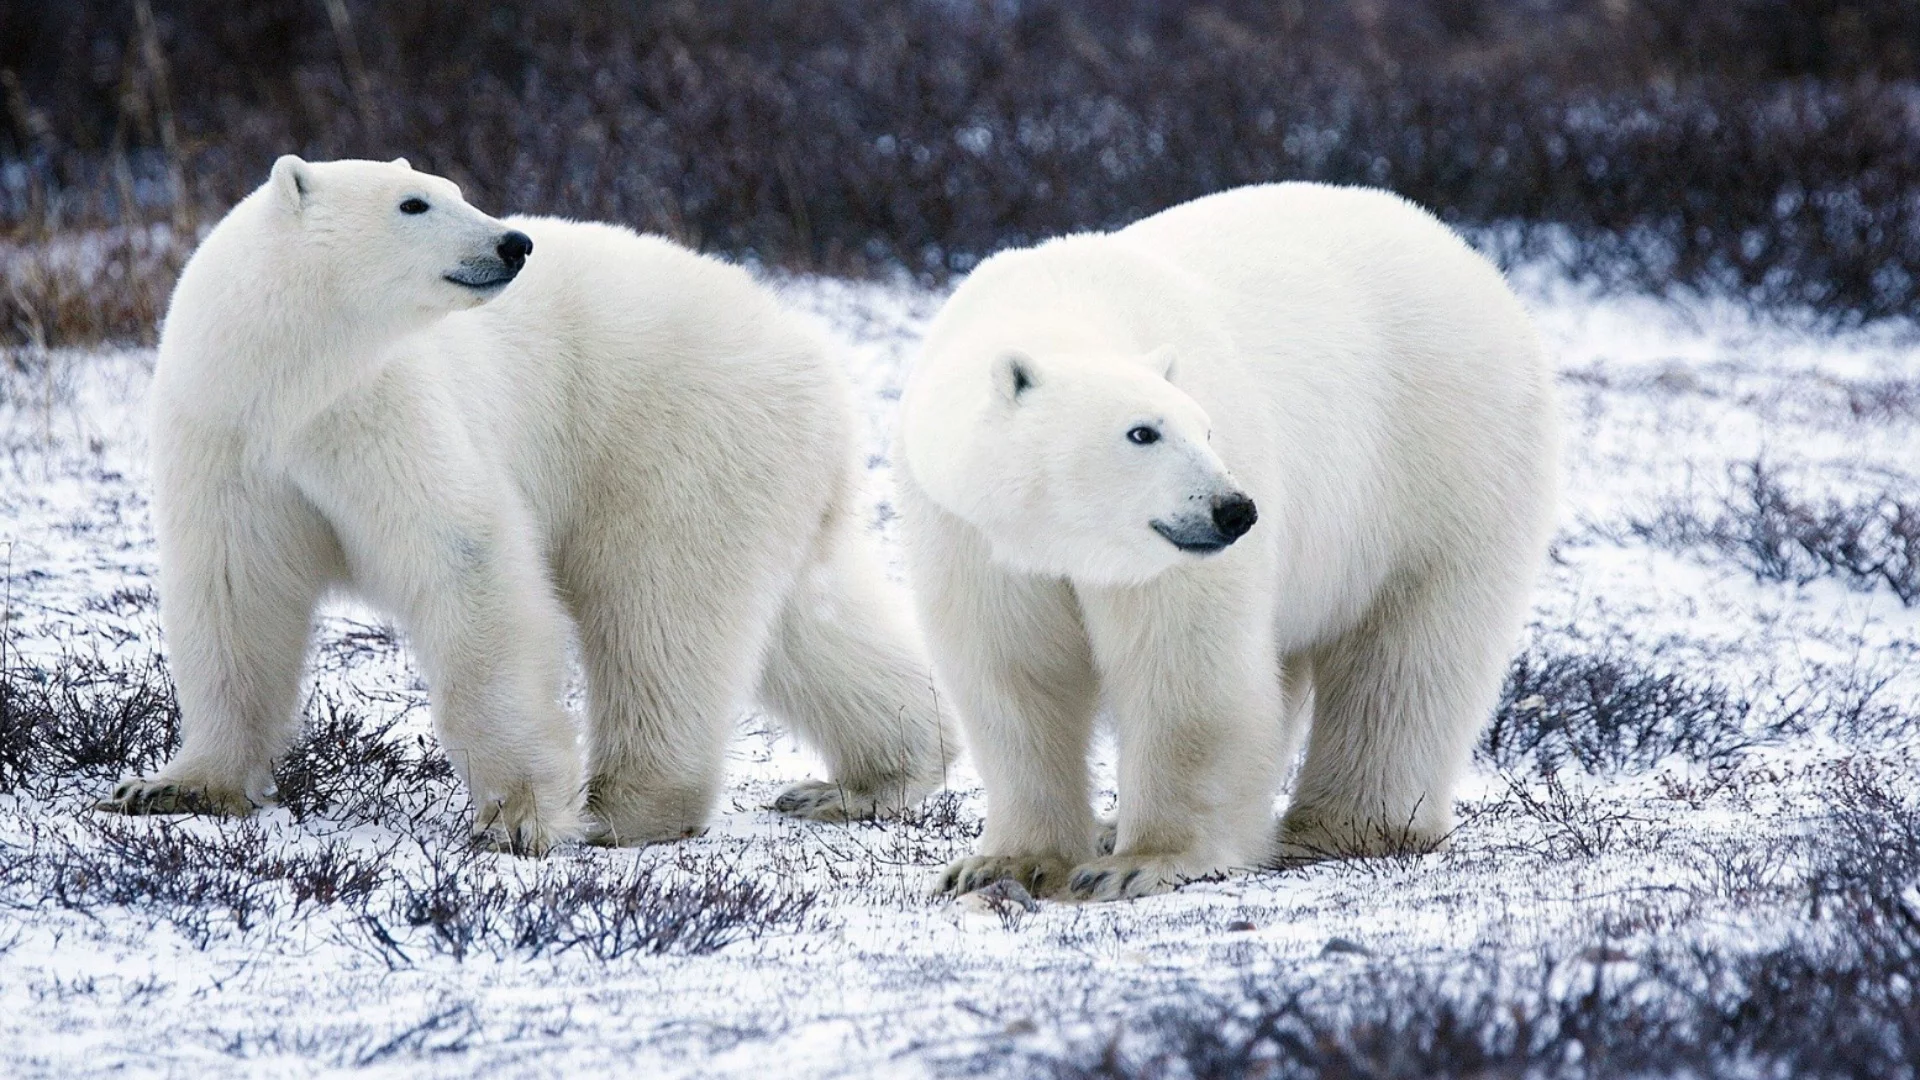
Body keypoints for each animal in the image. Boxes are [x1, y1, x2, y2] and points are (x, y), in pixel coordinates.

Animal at [97, 157, 952, 849]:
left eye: (455, 189)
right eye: (414, 202)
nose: (514, 243)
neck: (291, 381)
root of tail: (818, 359)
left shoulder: (384, 410)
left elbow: (466, 560)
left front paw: (519, 817)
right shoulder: (228, 437)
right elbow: (234, 594)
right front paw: (172, 786)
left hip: (677, 438)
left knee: (659, 610)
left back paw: (626, 808)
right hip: (763, 471)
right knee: (805, 622)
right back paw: (867, 778)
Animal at [898, 182, 1559, 899]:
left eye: (1206, 428)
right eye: (1142, 432)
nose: (1234, 511)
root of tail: (1471, 258)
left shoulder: (1169, 557)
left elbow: (1186, 669)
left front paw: (1140, 862)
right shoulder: (971, 532)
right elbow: (1013, 674)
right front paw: (1001, 863)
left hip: (1442, 460)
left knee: (1408, 655)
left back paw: (1343, 826)